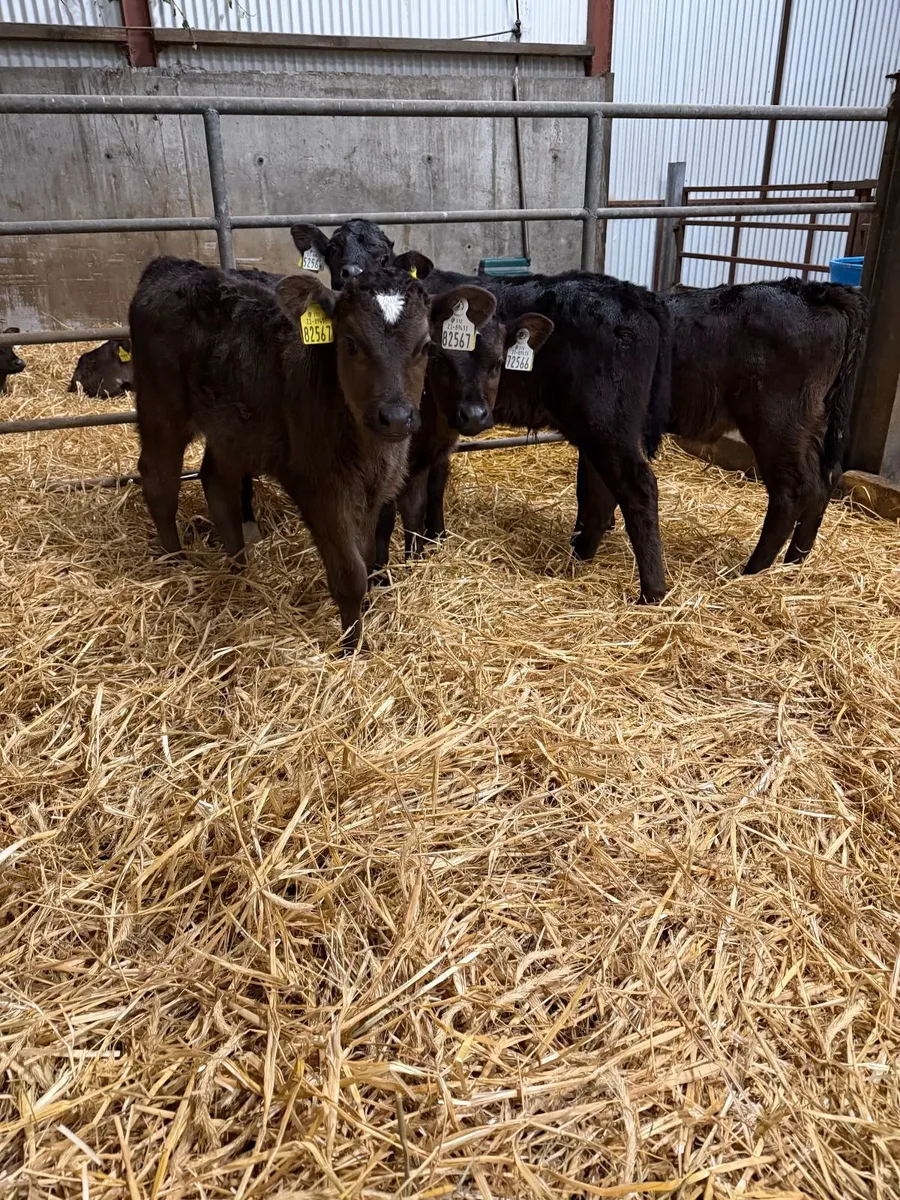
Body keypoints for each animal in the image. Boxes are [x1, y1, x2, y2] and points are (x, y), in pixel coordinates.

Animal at [129, 252, 490, 650]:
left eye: (426, 346)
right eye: (350, 343)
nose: (396, 417)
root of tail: (171, 265)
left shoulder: (374, 491)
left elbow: (367, 555)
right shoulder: (319, 489)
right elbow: (351, 573)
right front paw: (351, 647)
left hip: (231, 428)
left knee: (217, 482)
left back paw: (240, 571)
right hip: (161, 407)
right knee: (159, 480)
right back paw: (174, 562)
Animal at [389, 257, 671, 604]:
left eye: (498, 363)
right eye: (439, 358)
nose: (474, 415)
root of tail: (634, 294)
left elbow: (415, 491)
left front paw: (418, 556)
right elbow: (436, 480)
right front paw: (436, 538)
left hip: (608, 424)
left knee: (637, 487)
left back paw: (651, 591)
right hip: (598, 430)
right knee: (602, 489)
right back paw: (579, 555)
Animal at [576, 278, 869, 572]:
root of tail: (818, 291)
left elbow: (594, 490)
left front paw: (582, 548)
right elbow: (585, 485)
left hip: (776, 422)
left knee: (793, 490)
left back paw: (754, 570)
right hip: (814, 424)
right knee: (824, 481)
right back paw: (794, 563)